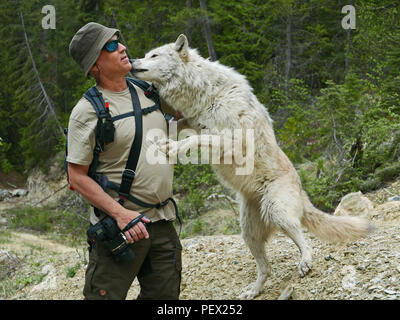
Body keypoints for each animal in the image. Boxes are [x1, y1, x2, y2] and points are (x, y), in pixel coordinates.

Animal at [130, 35, 372, 300]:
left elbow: (195, 139)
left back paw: (305, 262)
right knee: (266, 268)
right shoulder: (191, 121)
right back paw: (253, 291)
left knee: (304, 240)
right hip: (248, 232)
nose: (130, 61)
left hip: (277, 211)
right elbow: (181, 126)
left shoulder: (231, 141)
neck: (208, 93)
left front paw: (173, 147)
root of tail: (302, 192)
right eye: (146, 54)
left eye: (154, 56)